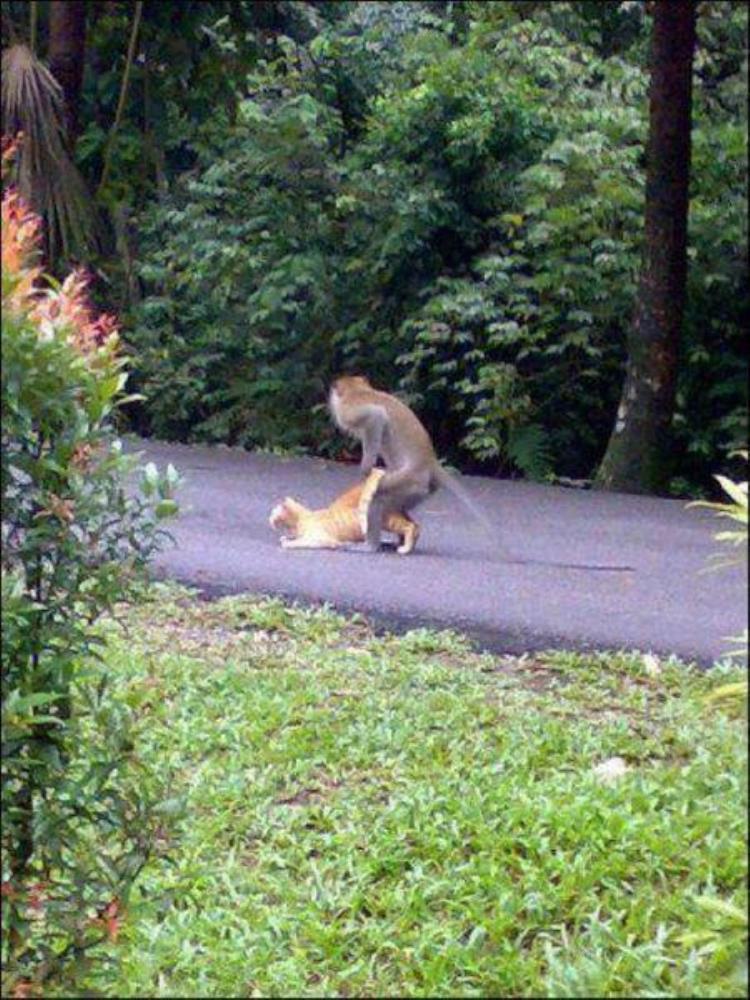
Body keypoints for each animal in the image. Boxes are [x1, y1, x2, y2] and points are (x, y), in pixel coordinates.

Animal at [270, 468, 424, 556]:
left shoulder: (321, 539)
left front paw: (288, 542)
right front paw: (287, 537)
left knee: (411, 527)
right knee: (416, 526)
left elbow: (299, 542)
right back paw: (401, 545)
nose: (269, 519)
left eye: (272, 514)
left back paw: (405, 549)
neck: (302, 519)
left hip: (387, 520)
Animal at [330, 376, 500, 552]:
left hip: (411, 482)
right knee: (397, 506)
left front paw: (366, 469)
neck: (359, 390)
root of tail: (431, 462)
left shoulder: (349, 410)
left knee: (379, 496)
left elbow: (377, 417)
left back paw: (371, 546)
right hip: (419, 490)